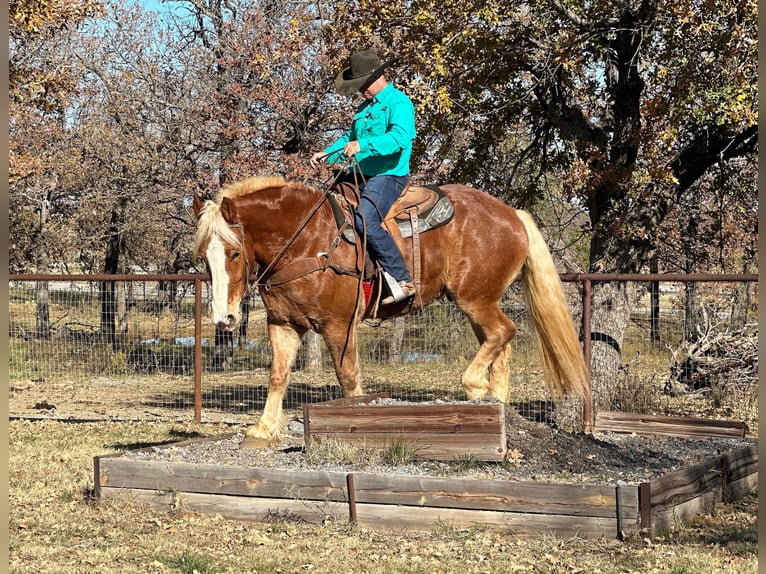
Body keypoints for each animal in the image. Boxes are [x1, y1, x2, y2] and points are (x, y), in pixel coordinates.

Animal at [195, 176, 592, 450]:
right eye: (204, 257)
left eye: (234, 253)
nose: (224, 319)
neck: (307, 241)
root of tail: (512, 214)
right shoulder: (283, 324)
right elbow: (278, 376)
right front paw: (262, 429)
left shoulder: (339, 326)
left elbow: (348, 378)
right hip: (477, 303)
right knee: (501, 347)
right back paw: (494, 403)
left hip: (474, 299)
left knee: (502, 333)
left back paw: (476, 386)